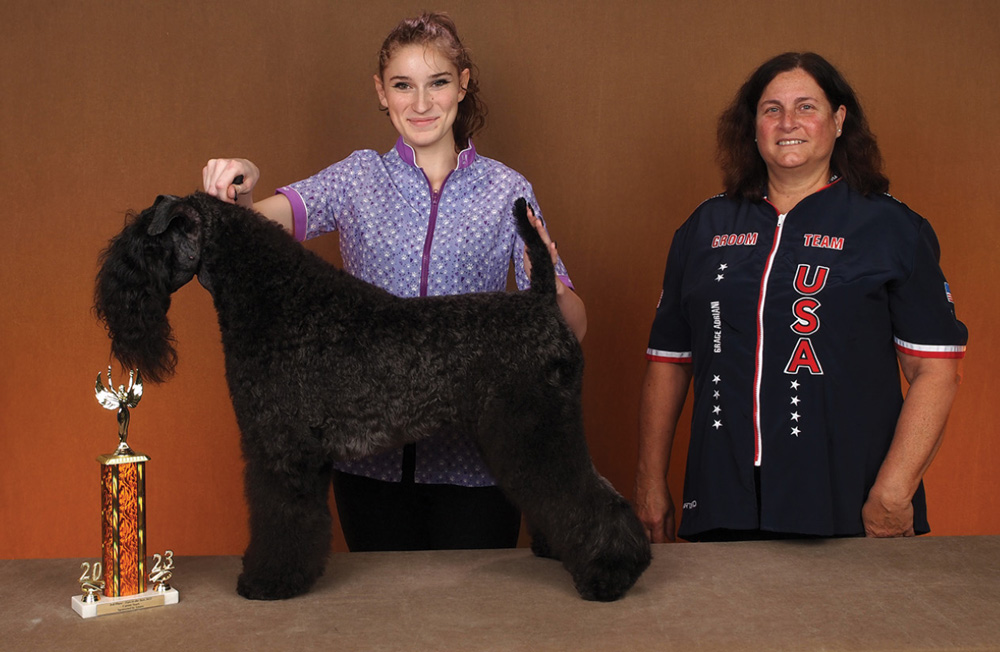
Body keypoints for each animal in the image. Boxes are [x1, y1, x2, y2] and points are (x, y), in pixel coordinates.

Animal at [97, 192, 652, 600]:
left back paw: (611, 571)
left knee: (585, 493)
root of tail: (542, 300)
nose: (109, 289)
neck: (279, 300)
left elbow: (279, 515)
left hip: (536, 430)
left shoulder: (280, 447)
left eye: (144, 242)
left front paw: (268, 580)